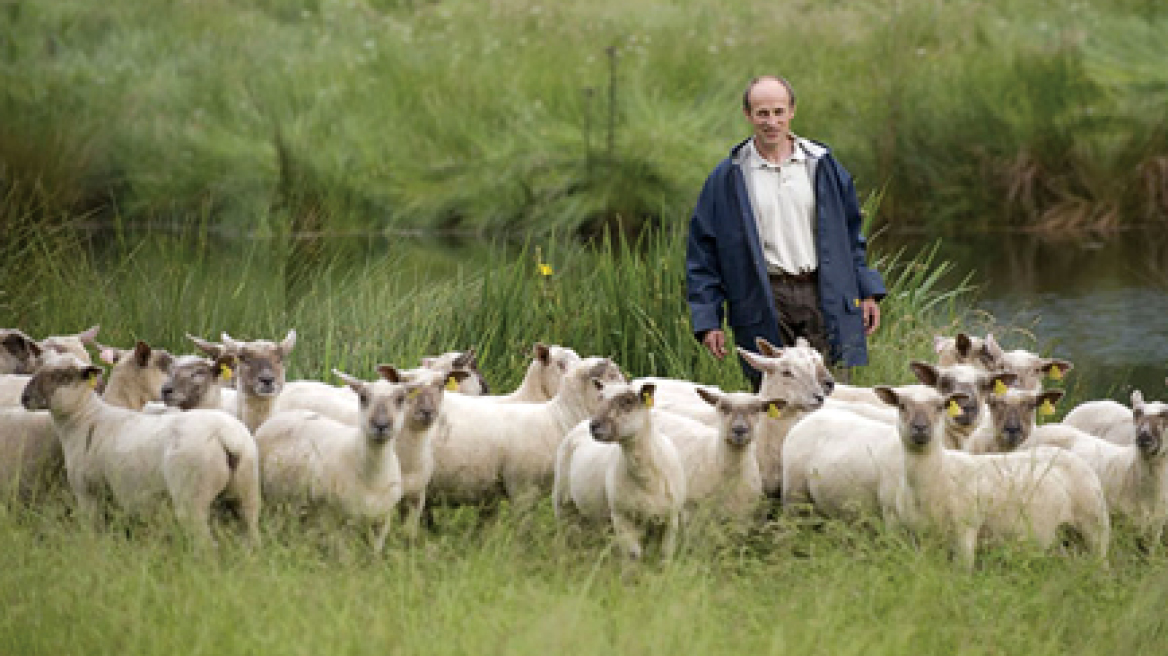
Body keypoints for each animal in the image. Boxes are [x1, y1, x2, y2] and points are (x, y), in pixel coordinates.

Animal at [20, 352, 260, 541]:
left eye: (61, 376)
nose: (25, 397)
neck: (84, 418)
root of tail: (227, 436)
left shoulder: (88, 492)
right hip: (246, 494)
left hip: (193, 498)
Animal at [252, 368, 411, 550]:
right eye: (363, 397)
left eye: (401, 399)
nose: (381, 425)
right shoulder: (337, 521)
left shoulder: (381, 522)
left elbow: (375, 553)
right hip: (271, 498)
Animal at [553, 380, 686, 560]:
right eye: (600, 398)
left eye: (628, 401)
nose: (594, 426)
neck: (647, 479)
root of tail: (580, 423)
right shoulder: (621, 516)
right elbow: (633, 556)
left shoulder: (671, 518)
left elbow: (665, 555)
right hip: (563, 501)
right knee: (566, 535)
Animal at [878, 382, 1111, 567]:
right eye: (901, 406)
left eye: (940, 407)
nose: (920, 428)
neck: (937, 473)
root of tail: (1072, 457)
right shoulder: (919, 536)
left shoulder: (966, 531)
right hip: (1062, 535)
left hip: (1094, 524)